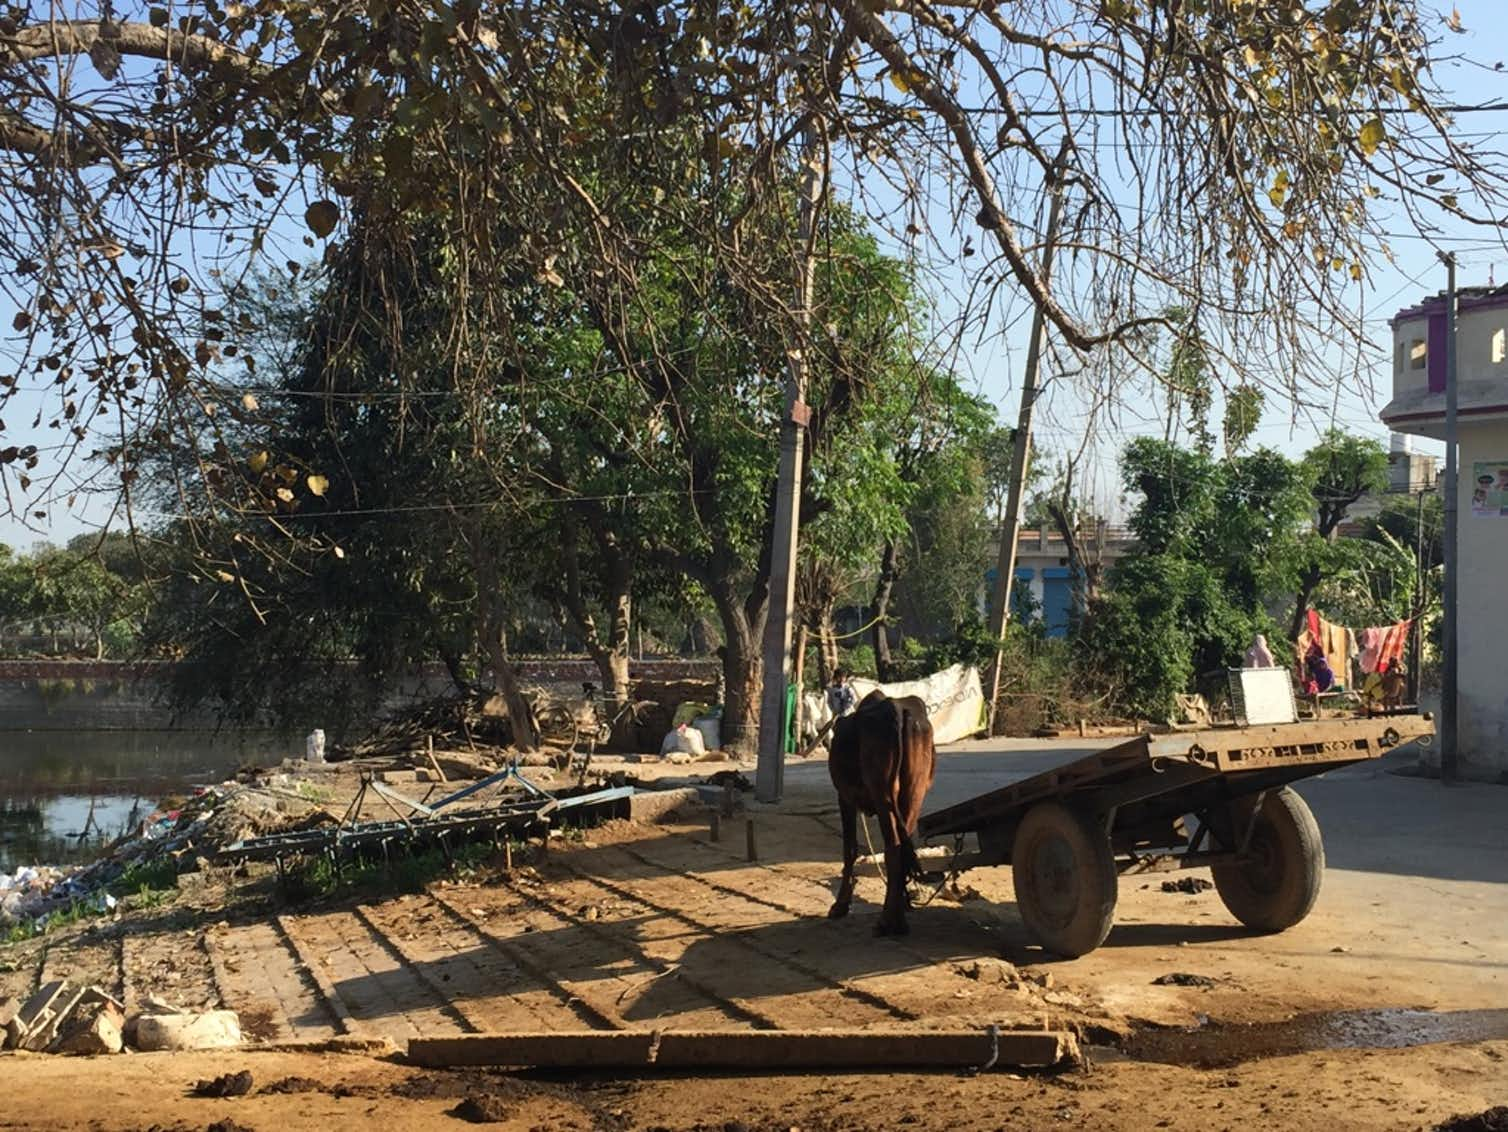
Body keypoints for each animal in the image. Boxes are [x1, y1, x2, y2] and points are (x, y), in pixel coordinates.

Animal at [832, 690, 934, 940]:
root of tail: (899, 711)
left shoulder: (844, 797)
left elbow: (849, 849)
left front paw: (840, 905)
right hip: (913, 794)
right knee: (903, 847)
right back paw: (899, 916)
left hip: (882, 795)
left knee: (893, 850)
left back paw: (888, 921)